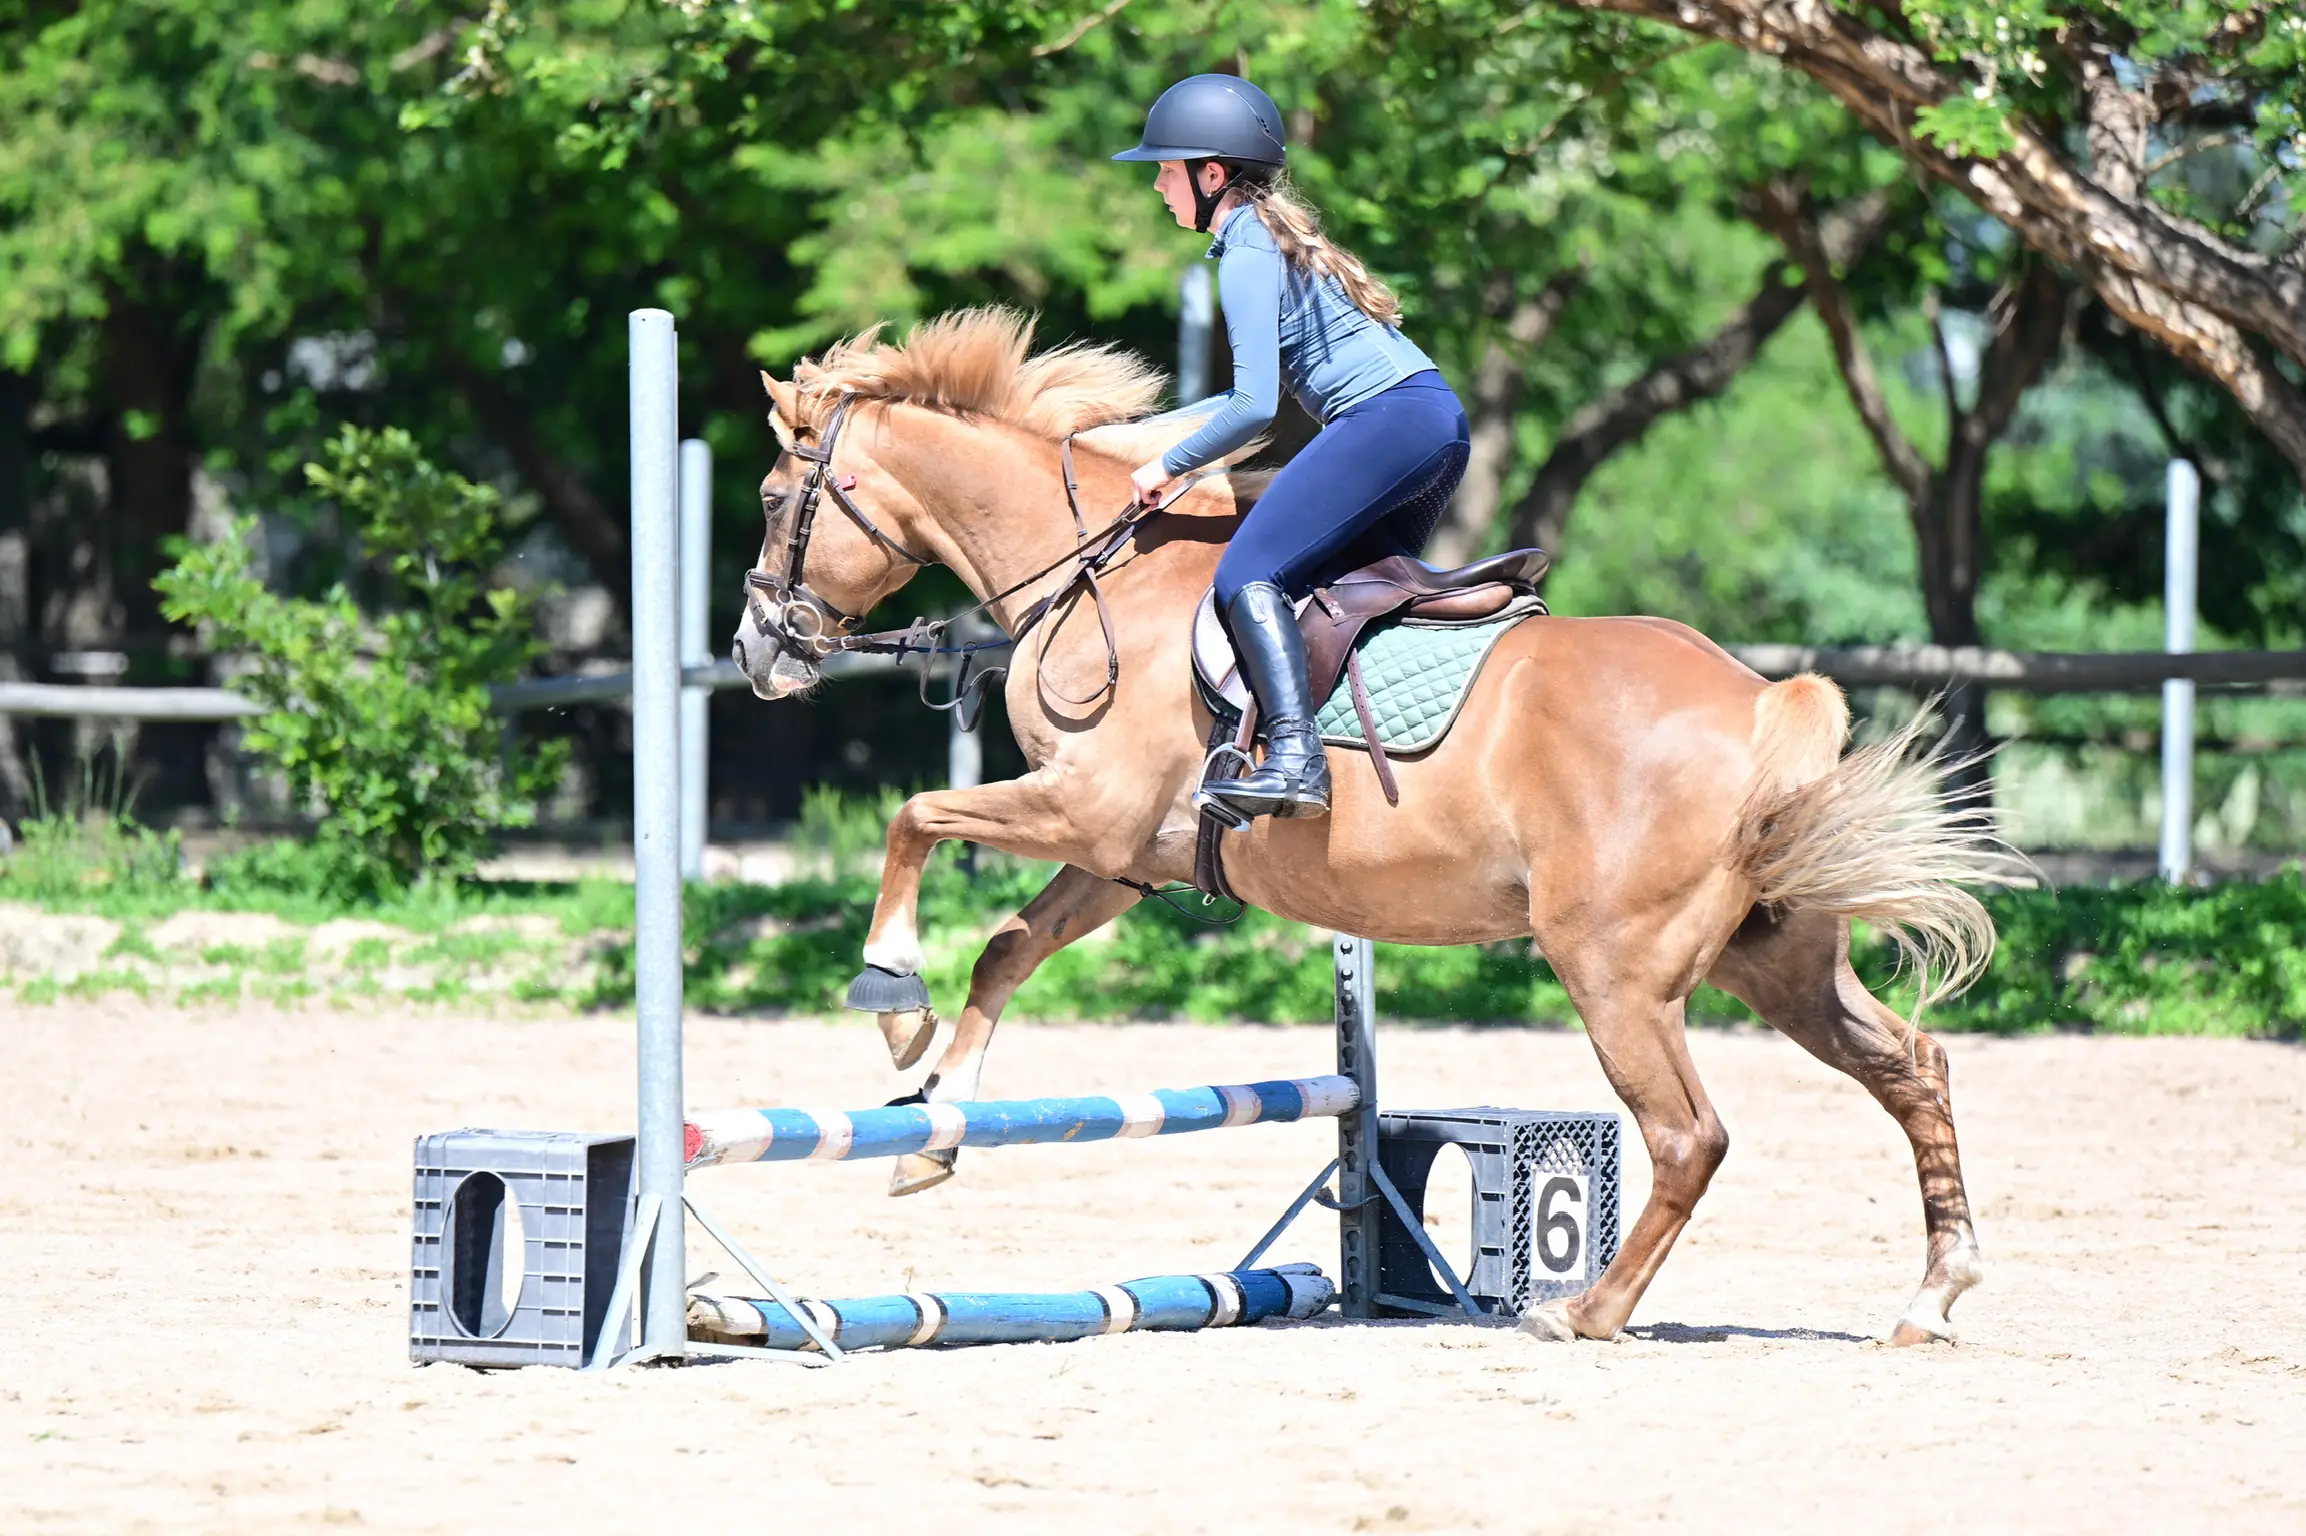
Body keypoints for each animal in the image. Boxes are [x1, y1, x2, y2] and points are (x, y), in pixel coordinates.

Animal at [730, 308, 2019, 1346]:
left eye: (773, 500)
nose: (756, 654)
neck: (1099, 581)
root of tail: (1761, 705)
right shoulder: (1121, 856)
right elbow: (1005, 946)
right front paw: (934, 1121)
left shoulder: (1085, 811)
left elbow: (913, 817)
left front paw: (889, 994)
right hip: (1775, 958)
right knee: (1910, 1068)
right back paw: (1930, 1296)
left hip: (1614, 969)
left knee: (1687, 1135)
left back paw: (1584, 1314)